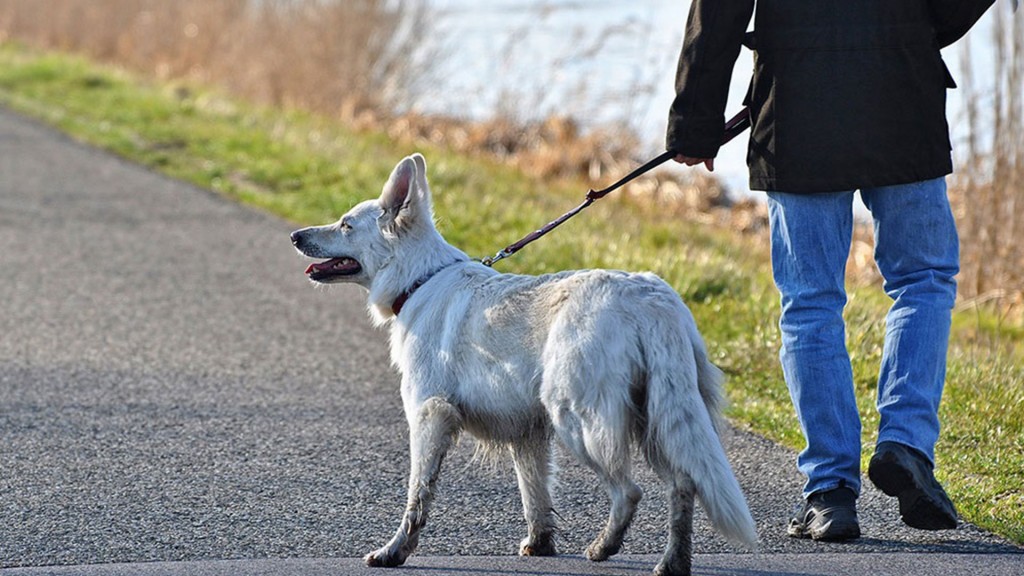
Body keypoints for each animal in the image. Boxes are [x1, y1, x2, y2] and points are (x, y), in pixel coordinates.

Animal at [292, 153, 757, 573]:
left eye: (345, 224)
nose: (296, 235)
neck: (419, 279)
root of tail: (651, 299)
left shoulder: (429, 416)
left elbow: (417, 495)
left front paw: (394, 552)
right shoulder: (527, 433)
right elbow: (535, 495)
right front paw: (541, 545)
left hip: (579, 420)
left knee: (630, 491)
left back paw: (604, 547)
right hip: (657, 419)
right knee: (684, 485)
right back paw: (672, 562)